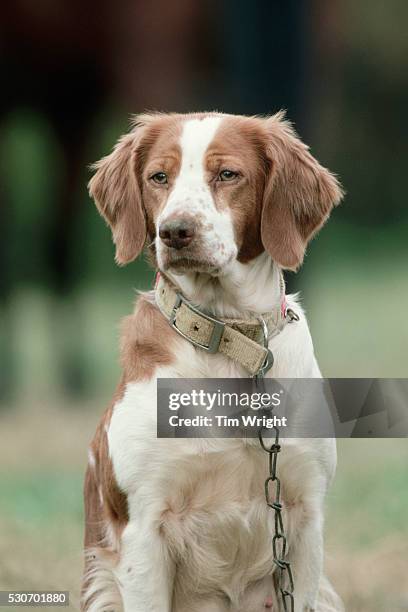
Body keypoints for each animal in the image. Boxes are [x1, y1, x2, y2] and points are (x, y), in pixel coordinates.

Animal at [83, 111, 344, 612]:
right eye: (158, 177)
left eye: (227, 174)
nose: (174, 231)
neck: (230, 338)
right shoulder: (143, 529)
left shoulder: (305, 519)